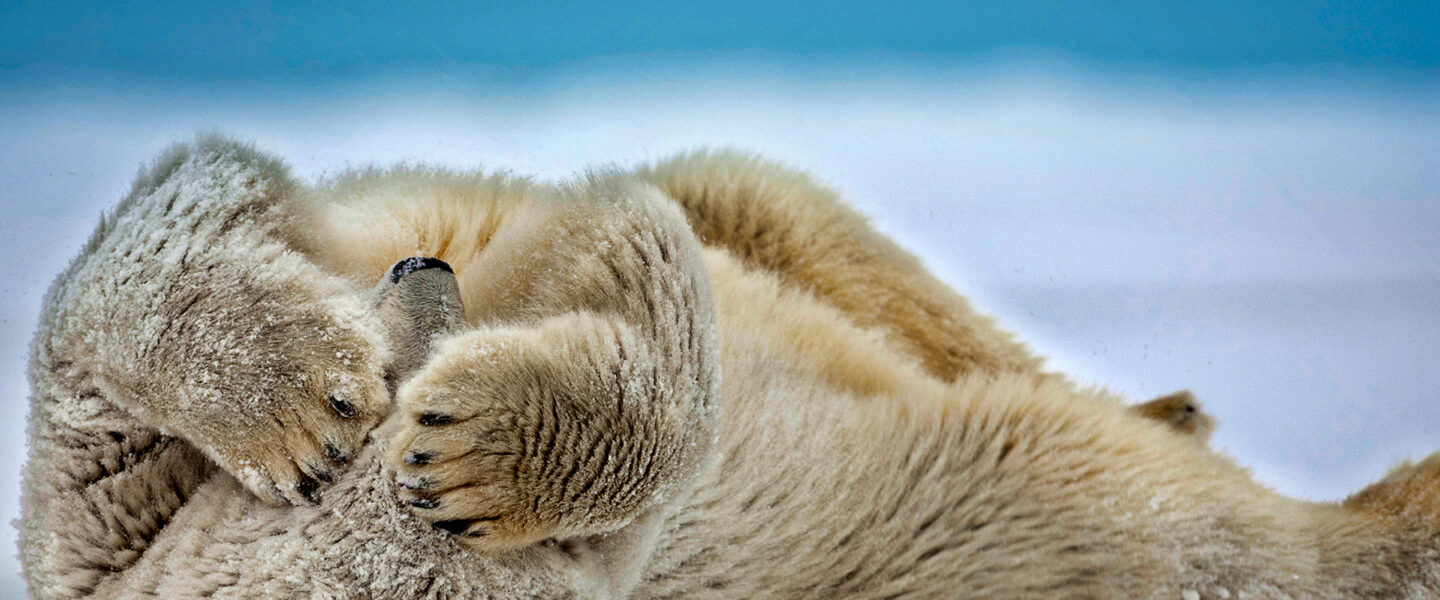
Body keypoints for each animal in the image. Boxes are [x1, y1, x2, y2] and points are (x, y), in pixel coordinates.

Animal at [19, 134, 1440, 598]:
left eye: (402, 413)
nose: (432, 279)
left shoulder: (106, 510)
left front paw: (325, 405)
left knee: (803, 222)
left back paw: (1181, 405)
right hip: (1062, 533)